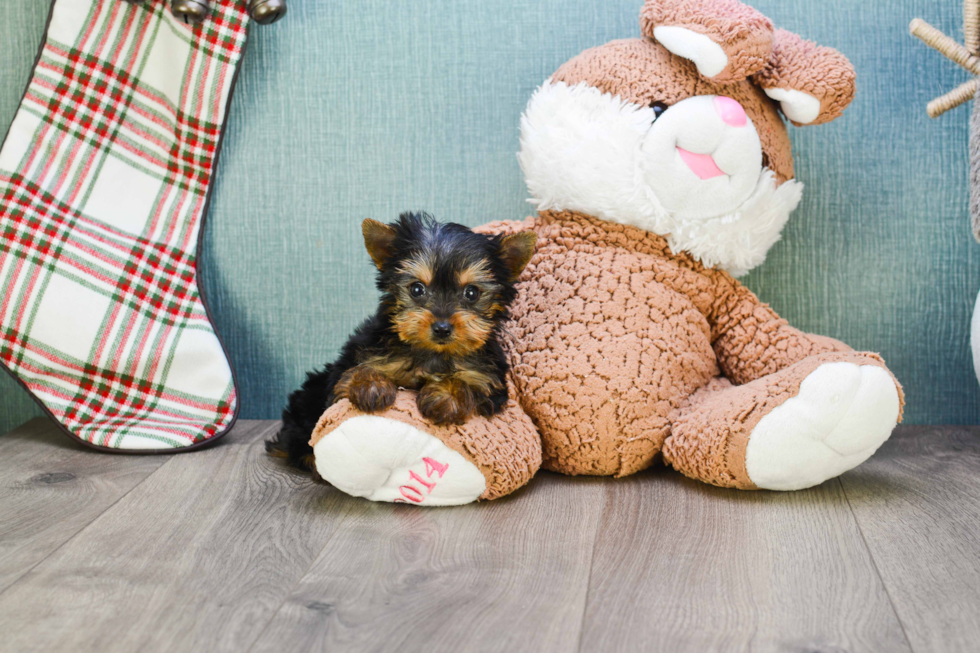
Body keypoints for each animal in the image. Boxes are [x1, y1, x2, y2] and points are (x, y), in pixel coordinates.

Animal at [266, 211, 536, 472]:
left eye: (471, 293)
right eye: (417, 289)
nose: (442, 328)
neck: (433, 353)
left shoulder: (489, 381)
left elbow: (468, 384)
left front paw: (445, 396)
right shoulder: (362, 356)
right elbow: (356, 373)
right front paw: (370, 386)